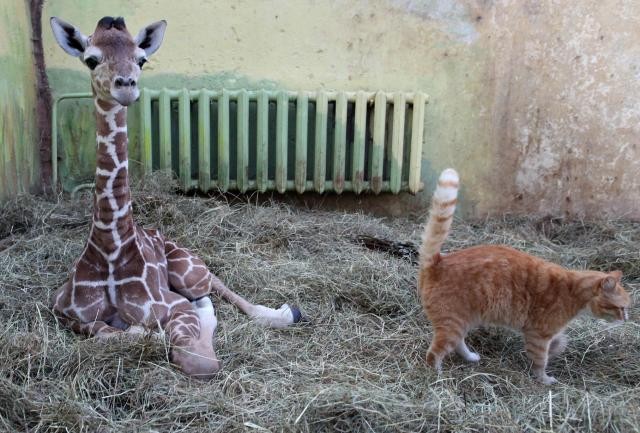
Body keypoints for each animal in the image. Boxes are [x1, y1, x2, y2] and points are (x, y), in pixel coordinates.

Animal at [50, 15, 302, 376]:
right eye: (91, 59)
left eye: (141, 59)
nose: (126, 86)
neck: (110, 247)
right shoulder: (62, 310)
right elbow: (110, 333)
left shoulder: (175, 307)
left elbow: (195, 357)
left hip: (188, 269)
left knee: (213, 283)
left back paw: (282, 313)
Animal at [418, 167, 632, 384]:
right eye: (621, 308)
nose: (626, 319)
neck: (574, 291)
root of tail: (438, 261)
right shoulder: (538, 335)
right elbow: (540, 360)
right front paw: (544, 379)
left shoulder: (547, 334)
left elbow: (559, 343)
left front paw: (556, 351)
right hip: (452, 323)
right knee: (434, 353)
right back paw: (437, 377)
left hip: (464, 321)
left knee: (458, 343)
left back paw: (470, 357)